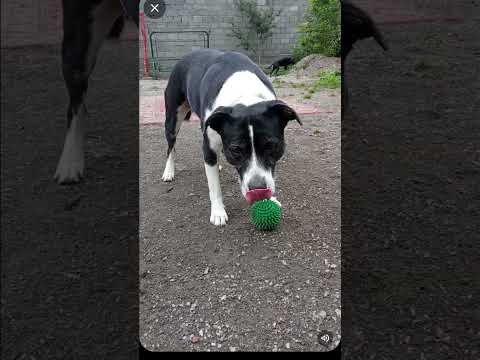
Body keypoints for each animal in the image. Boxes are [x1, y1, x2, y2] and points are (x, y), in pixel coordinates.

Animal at [163, 49, 302, 225]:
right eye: (236, 149)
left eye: (271, 145)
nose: (258, 189)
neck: (245, 94)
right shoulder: (209, 146)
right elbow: (214, 186)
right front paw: (218, 212)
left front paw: (270, 198)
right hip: (173, 119)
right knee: (171, 146)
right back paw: (169, 171)